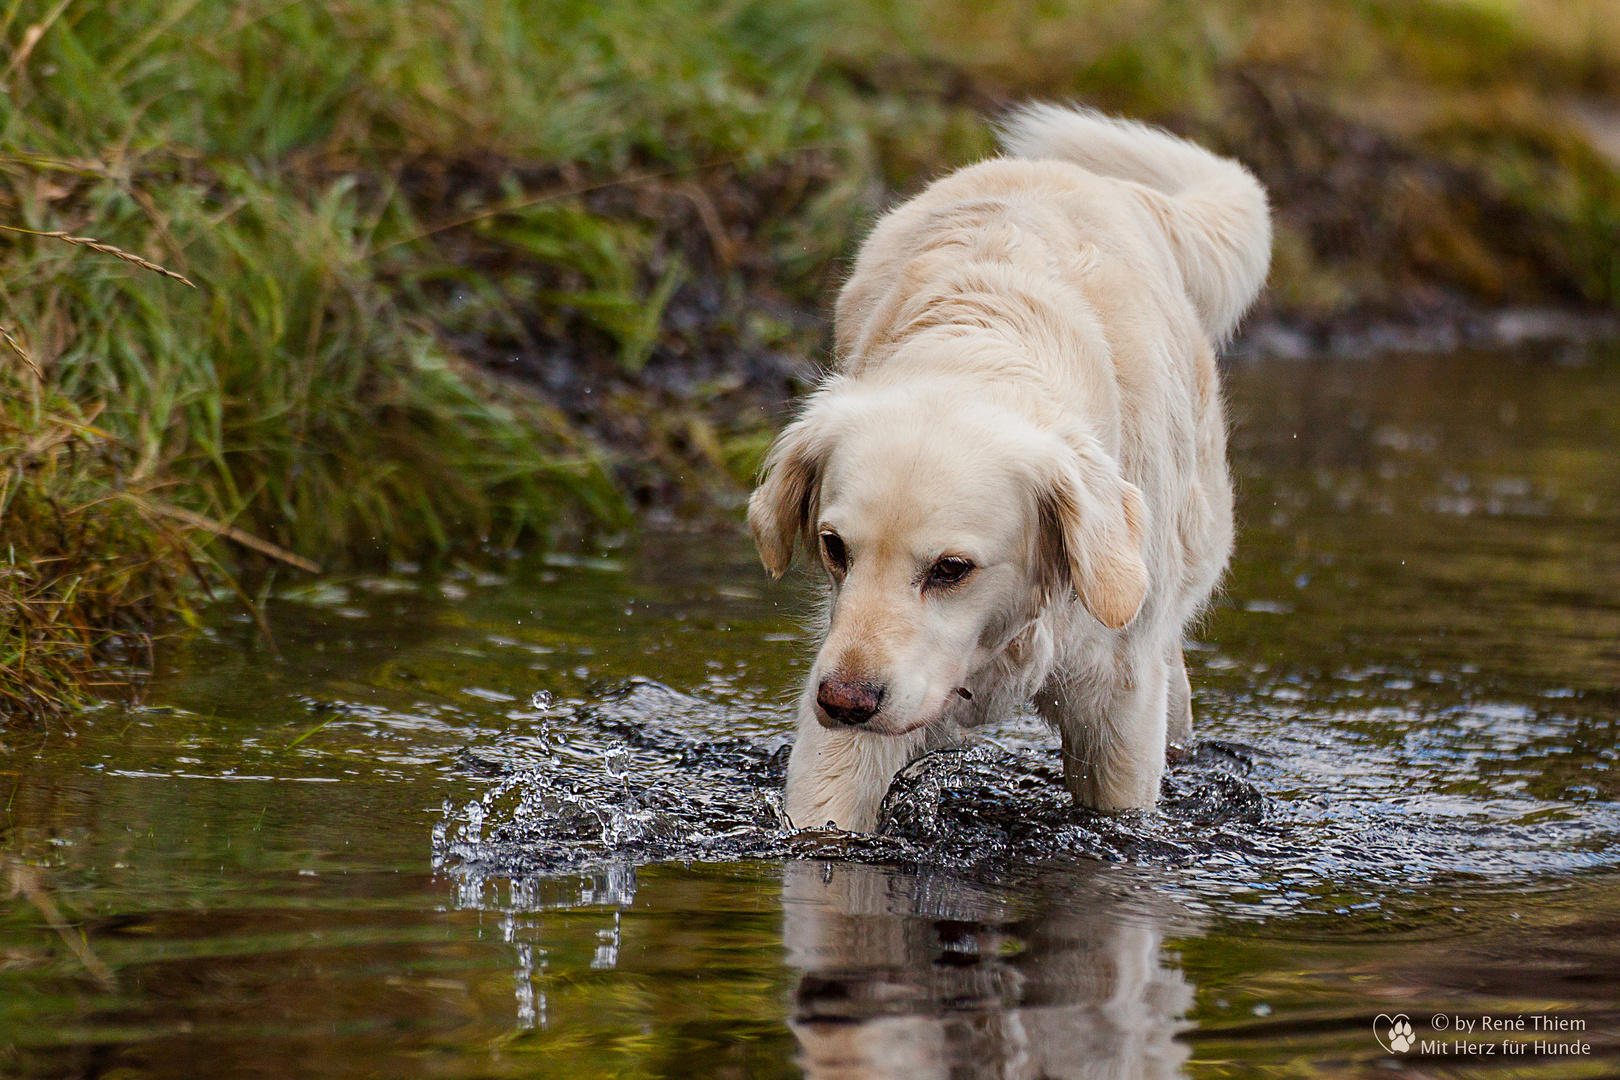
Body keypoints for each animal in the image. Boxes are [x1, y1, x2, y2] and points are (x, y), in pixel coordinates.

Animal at [751, 105, 1270, 835]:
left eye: (951, 569)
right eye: (834, 548)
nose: (844, 701)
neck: (982, 349)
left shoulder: (1117, 704)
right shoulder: (844, 700)